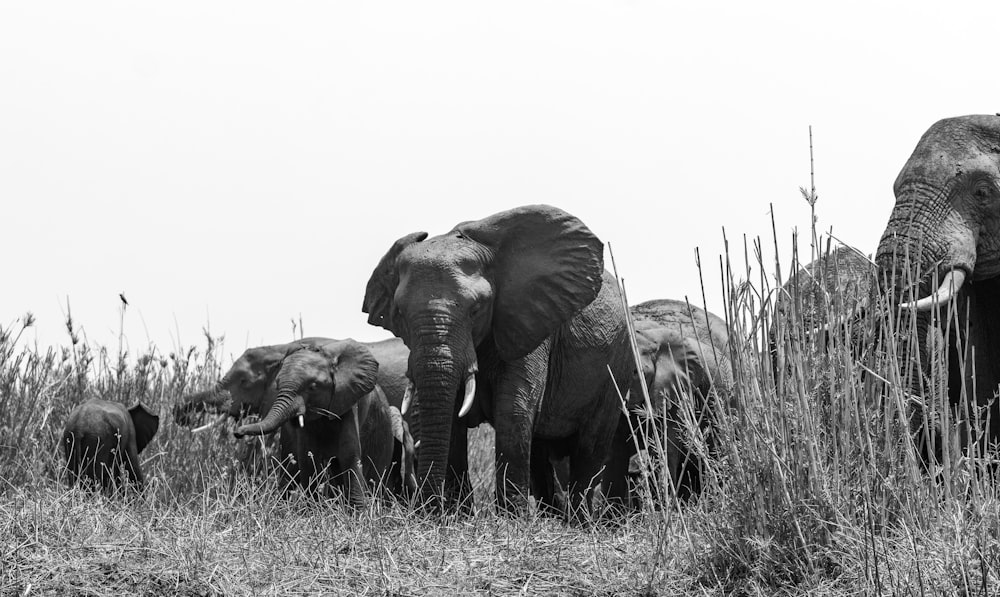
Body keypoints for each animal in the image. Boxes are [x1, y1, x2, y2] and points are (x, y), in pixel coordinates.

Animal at [232, 340, 408, 502]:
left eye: (313, 387)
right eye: (277, 385)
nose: (237, 433)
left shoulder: (346, 401)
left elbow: (349, 454)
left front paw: (358, 512)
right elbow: (307, 457)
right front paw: (314, 508)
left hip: (382, 426)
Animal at [364, 204, 632, 512]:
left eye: (477, 309)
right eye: (399, 313)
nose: (427, 508)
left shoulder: (529, 319)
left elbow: (513, 408)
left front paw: (509, 518)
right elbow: (451, 415)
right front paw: (455, 514)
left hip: (617, 363)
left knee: (591, 444)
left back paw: (578, 517)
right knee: (540, 447)